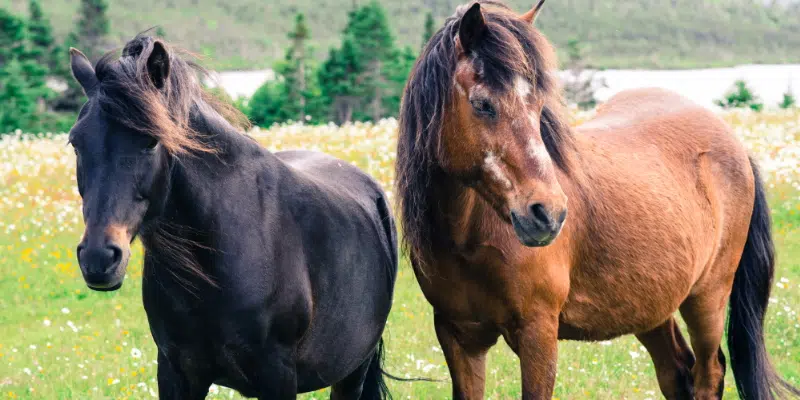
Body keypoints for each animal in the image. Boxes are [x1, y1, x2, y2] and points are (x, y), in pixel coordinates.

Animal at [67, 36, 398, 398]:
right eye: (75, 142)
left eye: (151, 140)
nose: (98, 257)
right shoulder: (176, 370)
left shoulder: (277, 376)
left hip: (353, 371)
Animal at [396, 1, 800, 398]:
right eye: (482, 104)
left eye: (538, 106)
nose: (548, 214)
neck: (470, 236)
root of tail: (734, 143)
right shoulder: (460, 339)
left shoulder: (538, 334)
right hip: (650, 305)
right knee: (675, 370)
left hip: (708, 297)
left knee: (709, 372)